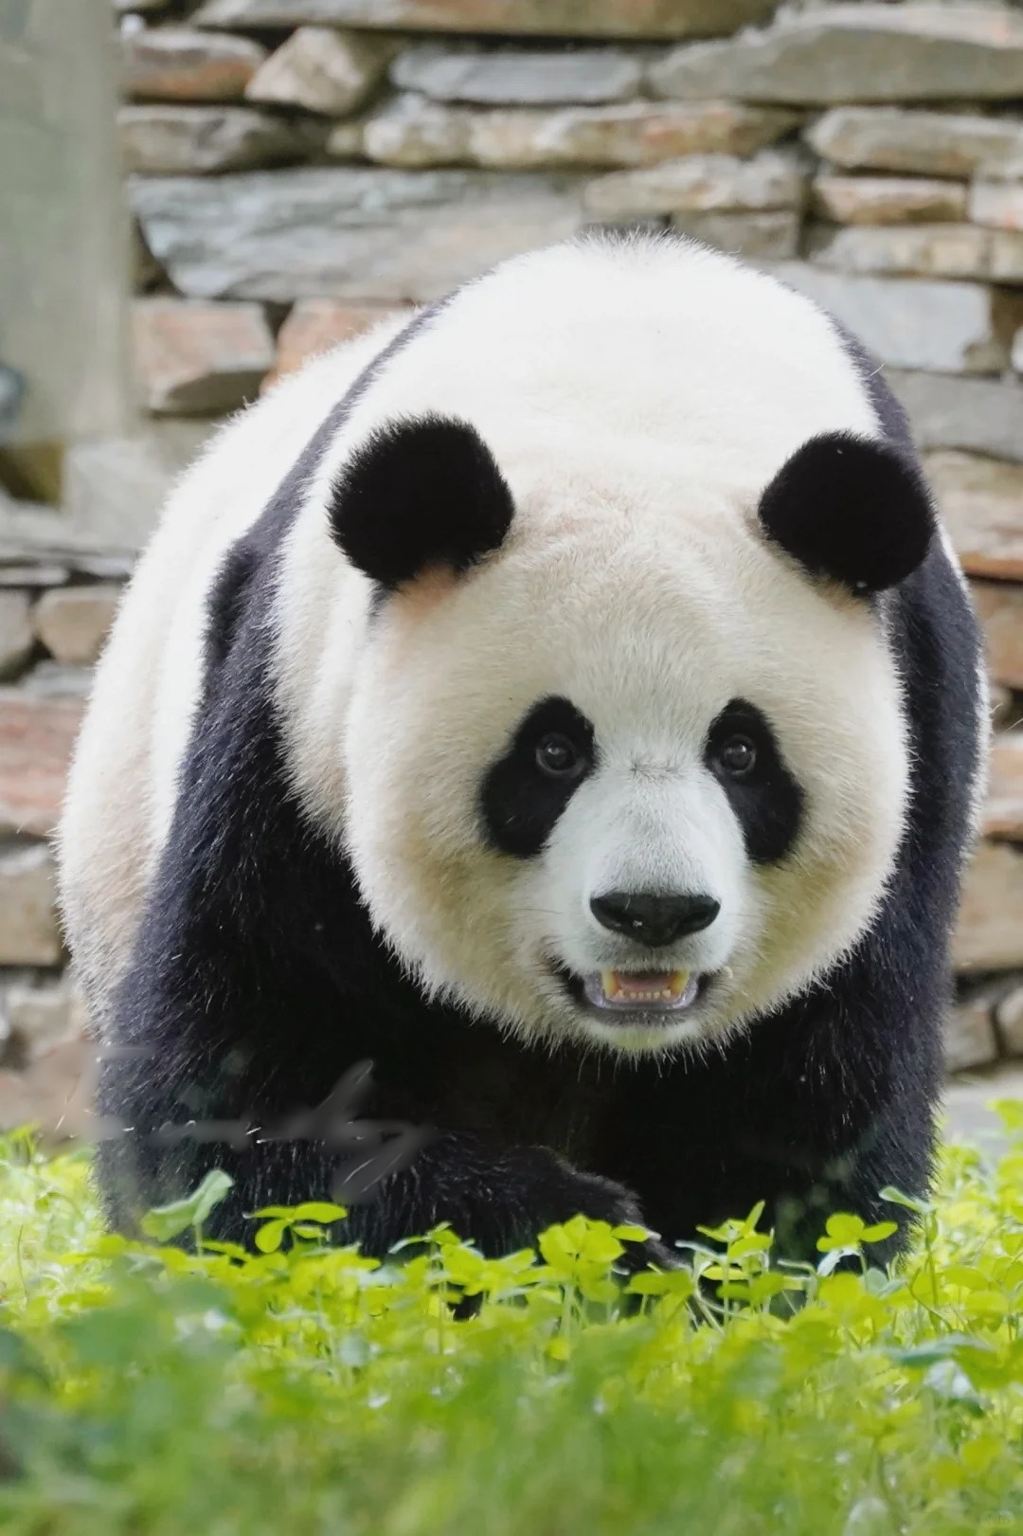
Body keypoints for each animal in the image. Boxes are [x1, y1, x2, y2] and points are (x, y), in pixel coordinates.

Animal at [59, 232, 984, 1266]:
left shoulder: (918, 718)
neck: (636, 386)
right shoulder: (291, 729)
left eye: (742, 754)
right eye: (552, 754)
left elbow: (810, 1103)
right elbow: (234, 1095)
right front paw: (585, 1234)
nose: (652, 912)